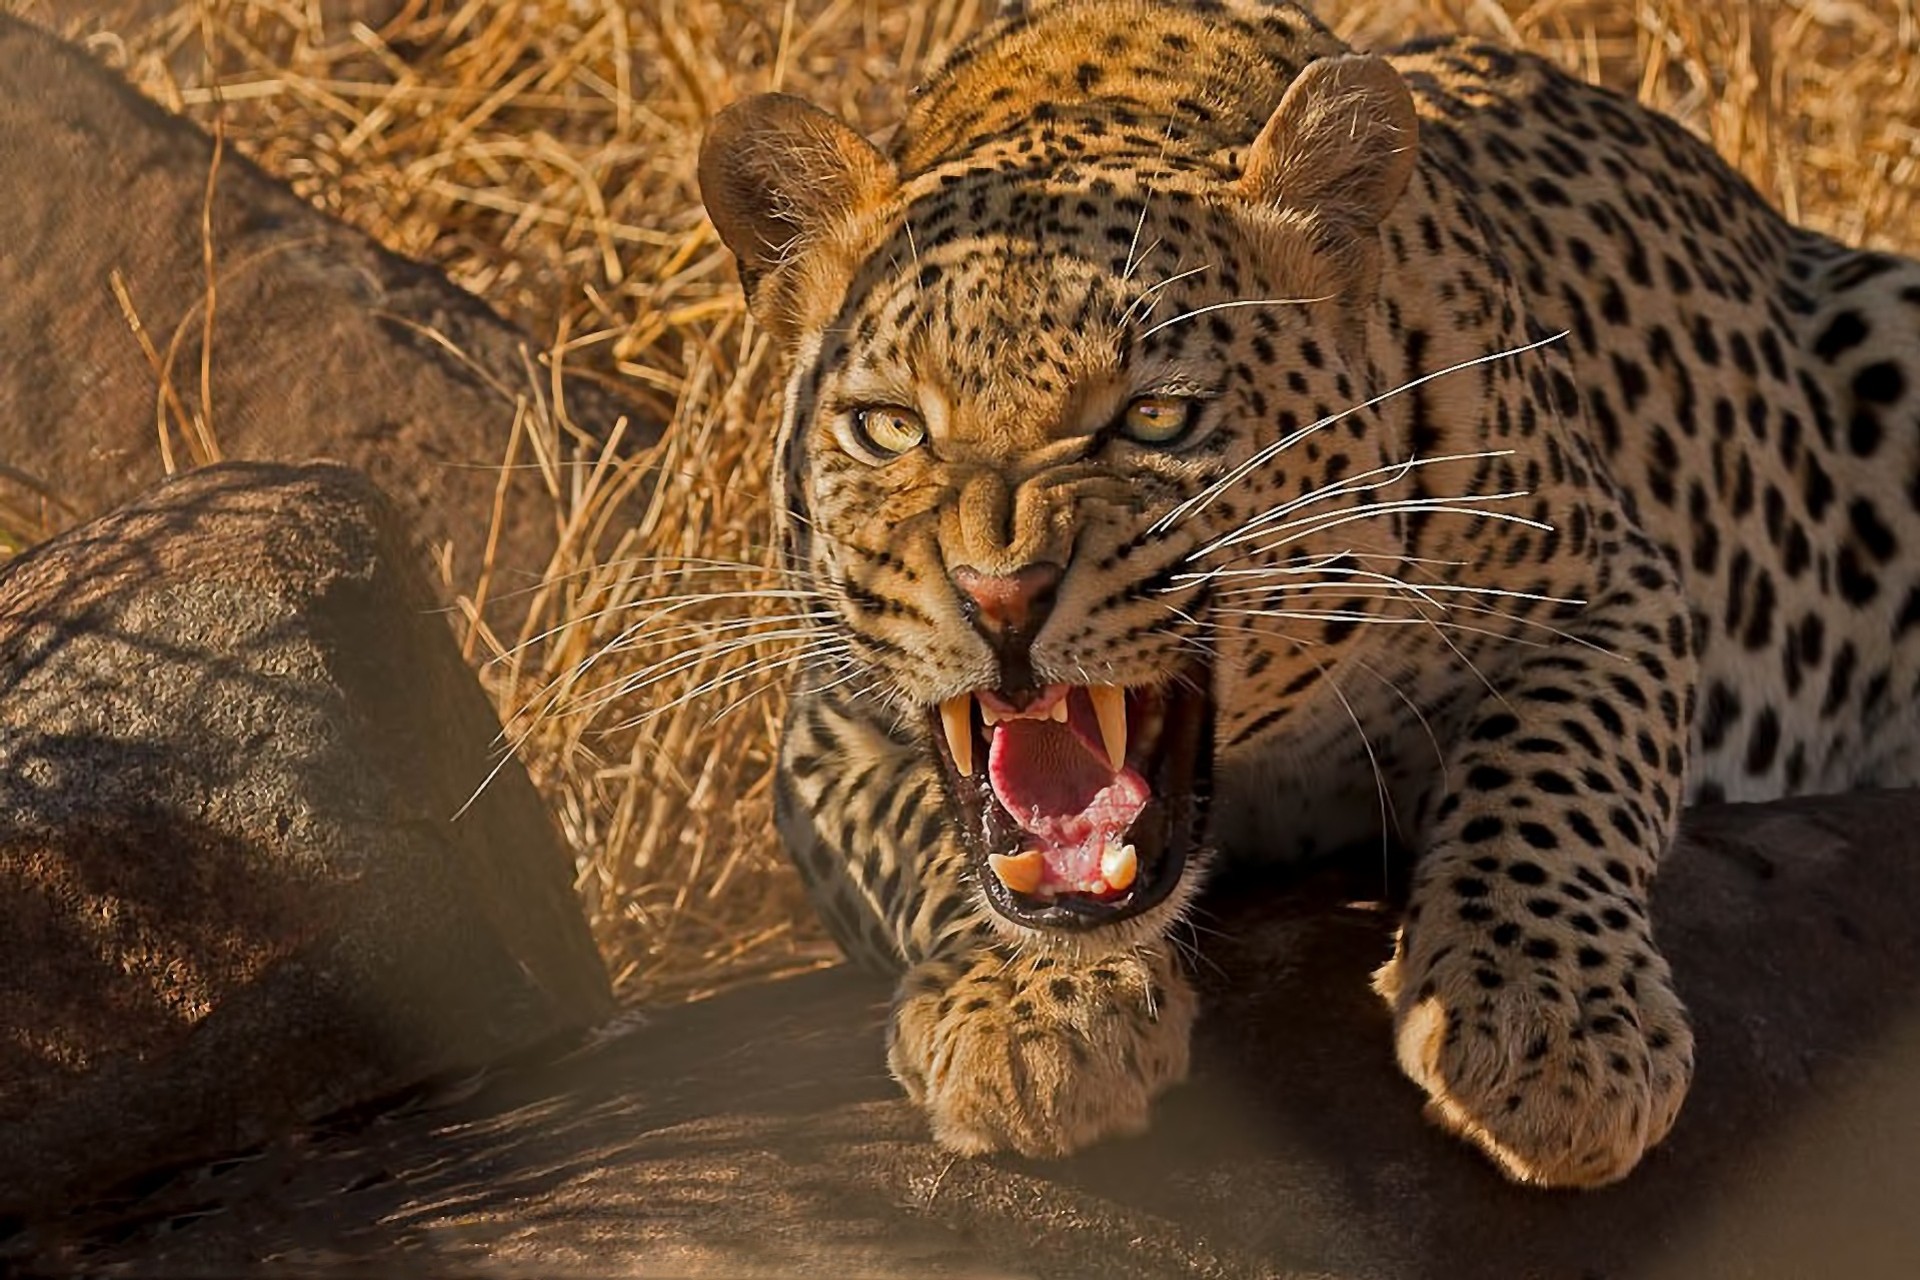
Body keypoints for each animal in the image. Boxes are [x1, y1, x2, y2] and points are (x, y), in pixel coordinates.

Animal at [697, 0, 1920, 1187]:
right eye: (888, 427)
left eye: (1155, 417)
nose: (1001, 596)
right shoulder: (824, 738)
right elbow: (930, 836)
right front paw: (1034, 1012)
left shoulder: (1608, 590)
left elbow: (1553, 774)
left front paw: (1555, 1025)